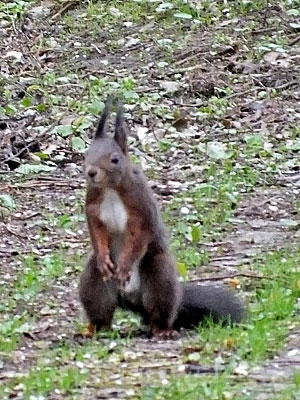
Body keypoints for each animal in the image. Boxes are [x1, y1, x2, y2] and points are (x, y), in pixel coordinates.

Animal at [79, 97, 244, 338]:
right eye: (86, 155)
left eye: (115, 159)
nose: (91, 172)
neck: (110, 189)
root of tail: (132, 300)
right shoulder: (93, 204)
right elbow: (96, 230)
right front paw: (103, 257)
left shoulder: (142, 206)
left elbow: (141, 235)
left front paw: (125, 265)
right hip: (94, 283)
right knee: (100, 305)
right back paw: (97, 330)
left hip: (159, 276)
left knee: (160, 310)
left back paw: (162, 330)